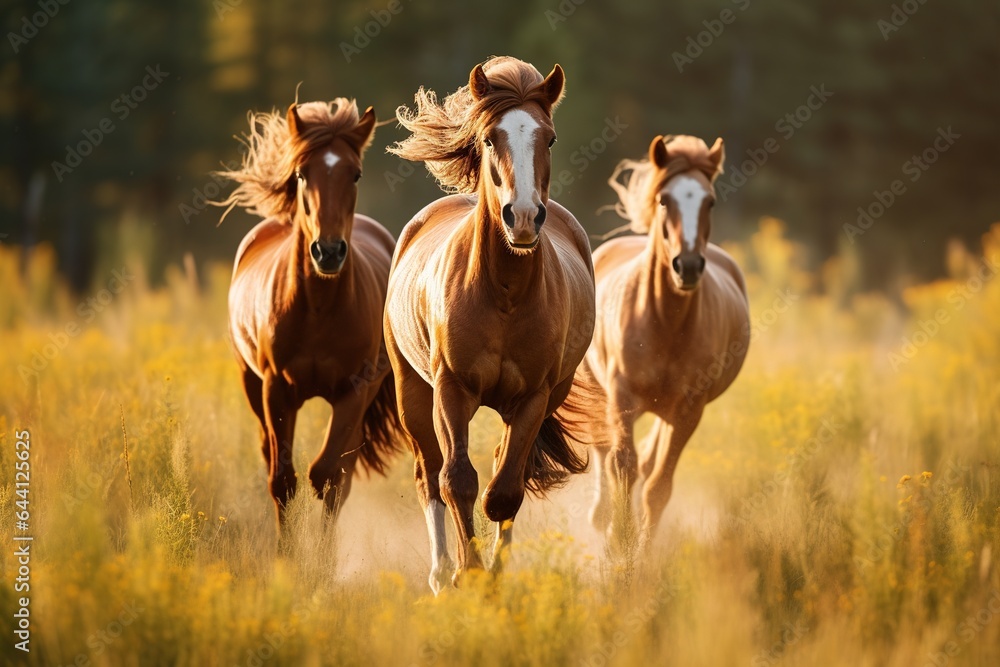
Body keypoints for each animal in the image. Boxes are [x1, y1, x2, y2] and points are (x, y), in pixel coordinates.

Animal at [218, 98, 401, 531]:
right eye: (303, 173)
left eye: (356, 174)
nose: (328, 251)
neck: (318, 309)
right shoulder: (275, 390)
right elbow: (283, 481)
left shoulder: (353, 392)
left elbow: (328, 476)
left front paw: (319, 552)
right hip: (251, 384)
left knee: (341, 477)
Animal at [384, 56, 600, 593]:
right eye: (488, 138)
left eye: (550, 139)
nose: (521, 217)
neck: (503, 292)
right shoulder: (451, 389)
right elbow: (457, 481)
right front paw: (467, 572)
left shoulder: (533, 398)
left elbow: (504, 492)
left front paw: (490, 580)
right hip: (411, 392)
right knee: (429, 474)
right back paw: (441, 573)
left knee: (507, 468)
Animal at [580, 134, 750, 549]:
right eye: (664, 200)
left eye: (710, 201)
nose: (686, 266)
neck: (663, 322)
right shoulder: (621, 397)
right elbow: (622, 466)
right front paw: (618, 542)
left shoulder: (689, 409)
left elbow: (658, 484)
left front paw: (640, 552)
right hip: (599, 391)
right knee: (604, 450)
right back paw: (601, 517)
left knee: (647, 460)